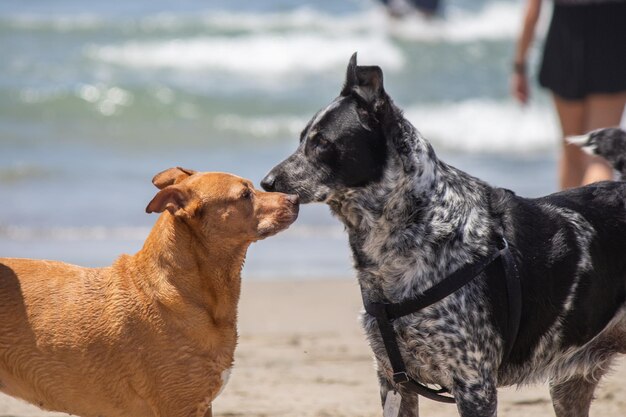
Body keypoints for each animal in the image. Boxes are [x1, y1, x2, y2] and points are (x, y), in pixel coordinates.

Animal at [260, 53, 624, 414]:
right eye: (302, 139)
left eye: (322, 142)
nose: (266, 182)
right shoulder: (394, 381)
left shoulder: (474, 384)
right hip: (568, 385)